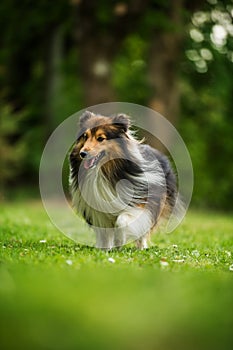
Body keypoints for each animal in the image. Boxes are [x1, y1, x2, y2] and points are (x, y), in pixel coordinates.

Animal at [68, 110, 177, 250]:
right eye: (85, 137)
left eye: (100, 138)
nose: (82, 153)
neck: (102, 171)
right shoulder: (98, 211)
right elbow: (104, 234)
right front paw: (104, 249)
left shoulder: (139, 205)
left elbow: (121, 220)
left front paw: (119, 242)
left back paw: (141, 247)